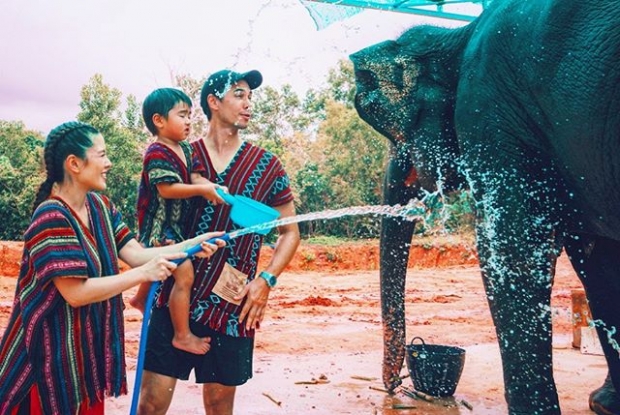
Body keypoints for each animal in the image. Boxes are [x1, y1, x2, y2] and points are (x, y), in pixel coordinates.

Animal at [352, 1, 620, 414]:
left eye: (398, 137)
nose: (393, 386)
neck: (458, 38)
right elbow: (600, 259)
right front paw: (604, 404)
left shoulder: (490, 112)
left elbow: (512, 250)